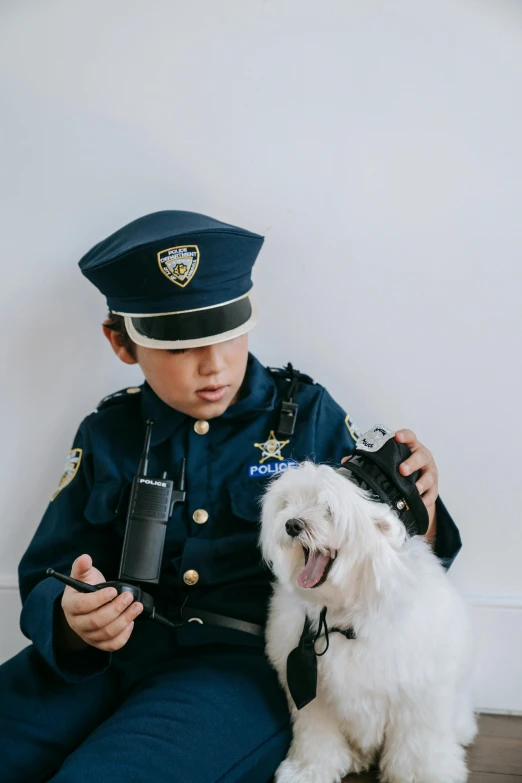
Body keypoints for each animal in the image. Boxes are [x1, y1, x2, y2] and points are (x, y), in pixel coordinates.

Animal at [260, 460, 476, 783]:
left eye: (329, 509)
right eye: (289, 504)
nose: (292, 524)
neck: (344, 614)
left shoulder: (418, 695)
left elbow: (417, 744)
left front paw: (422, 773)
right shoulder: (316, 701)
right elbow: (316, 737)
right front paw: (309, 769)